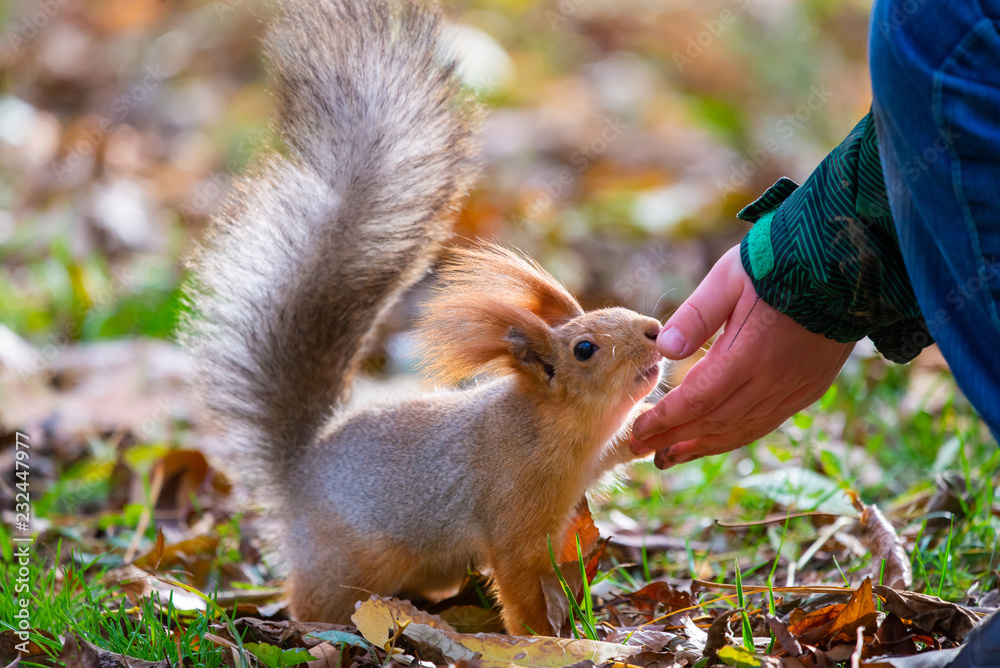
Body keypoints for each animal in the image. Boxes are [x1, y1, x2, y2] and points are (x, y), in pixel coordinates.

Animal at [185, 0, 664, 640]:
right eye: (585, 347)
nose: (655, 331)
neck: (558, 429)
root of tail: (298, 476)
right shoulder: (511, 516)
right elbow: (520, 583)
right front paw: (541, 640)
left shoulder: (593, 459)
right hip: (348, 564)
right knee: (314, 600)